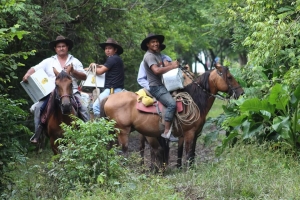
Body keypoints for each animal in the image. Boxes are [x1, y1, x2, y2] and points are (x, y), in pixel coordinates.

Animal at [99, 65, 243, 167]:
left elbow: (190, 152)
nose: (241, 92)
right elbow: (188, 152)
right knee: (124, 150)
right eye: (229, 77)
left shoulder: (194, 134)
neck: (195, 100)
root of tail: (109, 98)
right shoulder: (189, 133)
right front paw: (188, 171)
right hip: (123, 131)